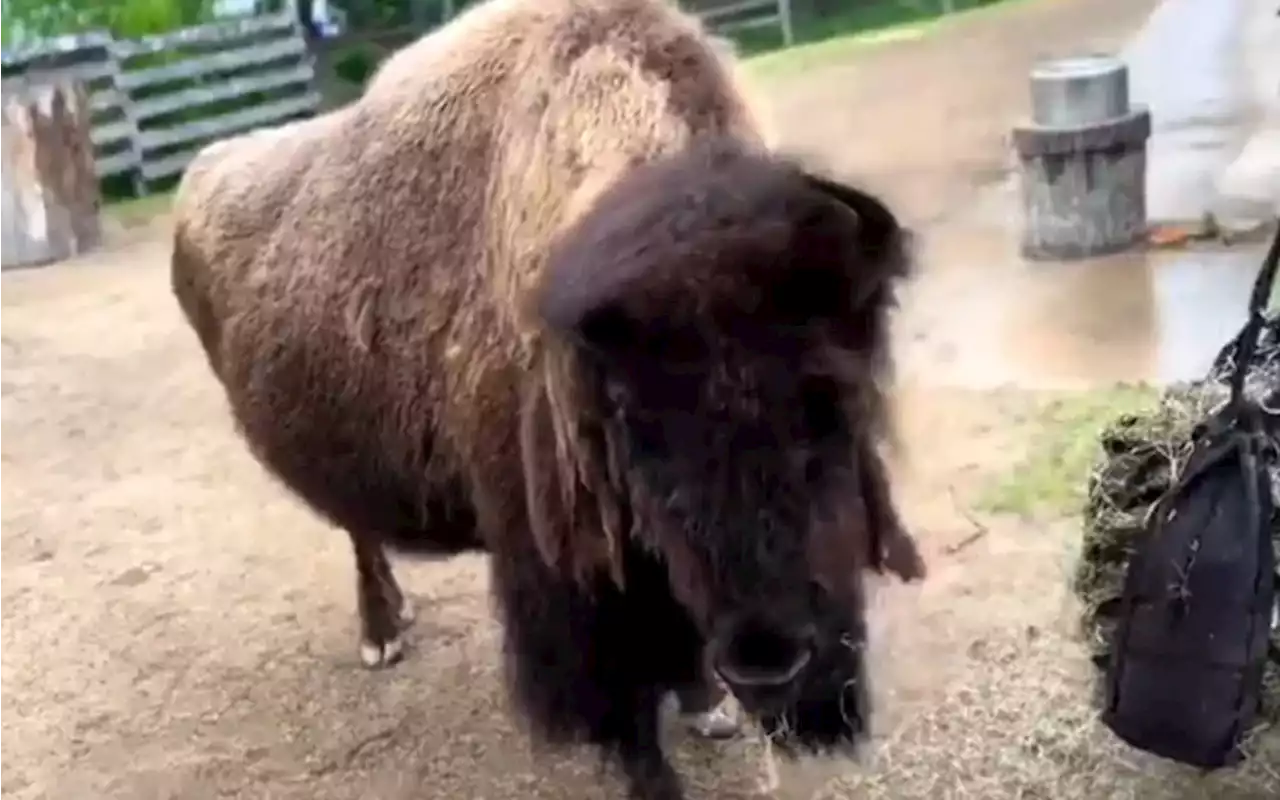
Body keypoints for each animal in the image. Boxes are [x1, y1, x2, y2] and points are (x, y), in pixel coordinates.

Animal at [172, 0, 921, 793]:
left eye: (834, 394)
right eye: (629, 418)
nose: (767, 667)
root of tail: (201, 173)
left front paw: (705, 706)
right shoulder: (566, 568)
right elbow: (622, 700)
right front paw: (658, 775)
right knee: (359, 534)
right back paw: (380, 637)